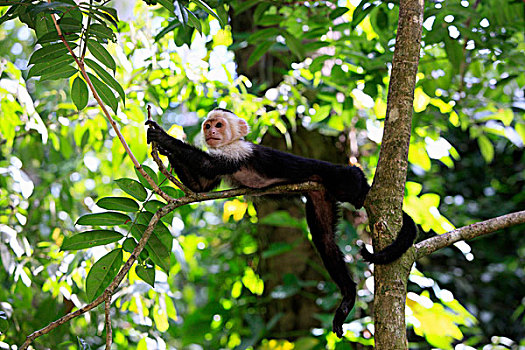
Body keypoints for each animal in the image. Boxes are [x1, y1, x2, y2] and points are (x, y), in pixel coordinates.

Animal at [145, 108, 416, 338]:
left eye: (218, 125)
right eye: (207, 125)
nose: (210, 132)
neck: (230, 143)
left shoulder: (239, 152)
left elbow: (207, 164)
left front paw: (163, 137)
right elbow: (200, 186)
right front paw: (165, 150)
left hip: (337, 179)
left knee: (350, 179)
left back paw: (361, 186)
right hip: (321, 197)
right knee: (325, 241)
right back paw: (348, 295)